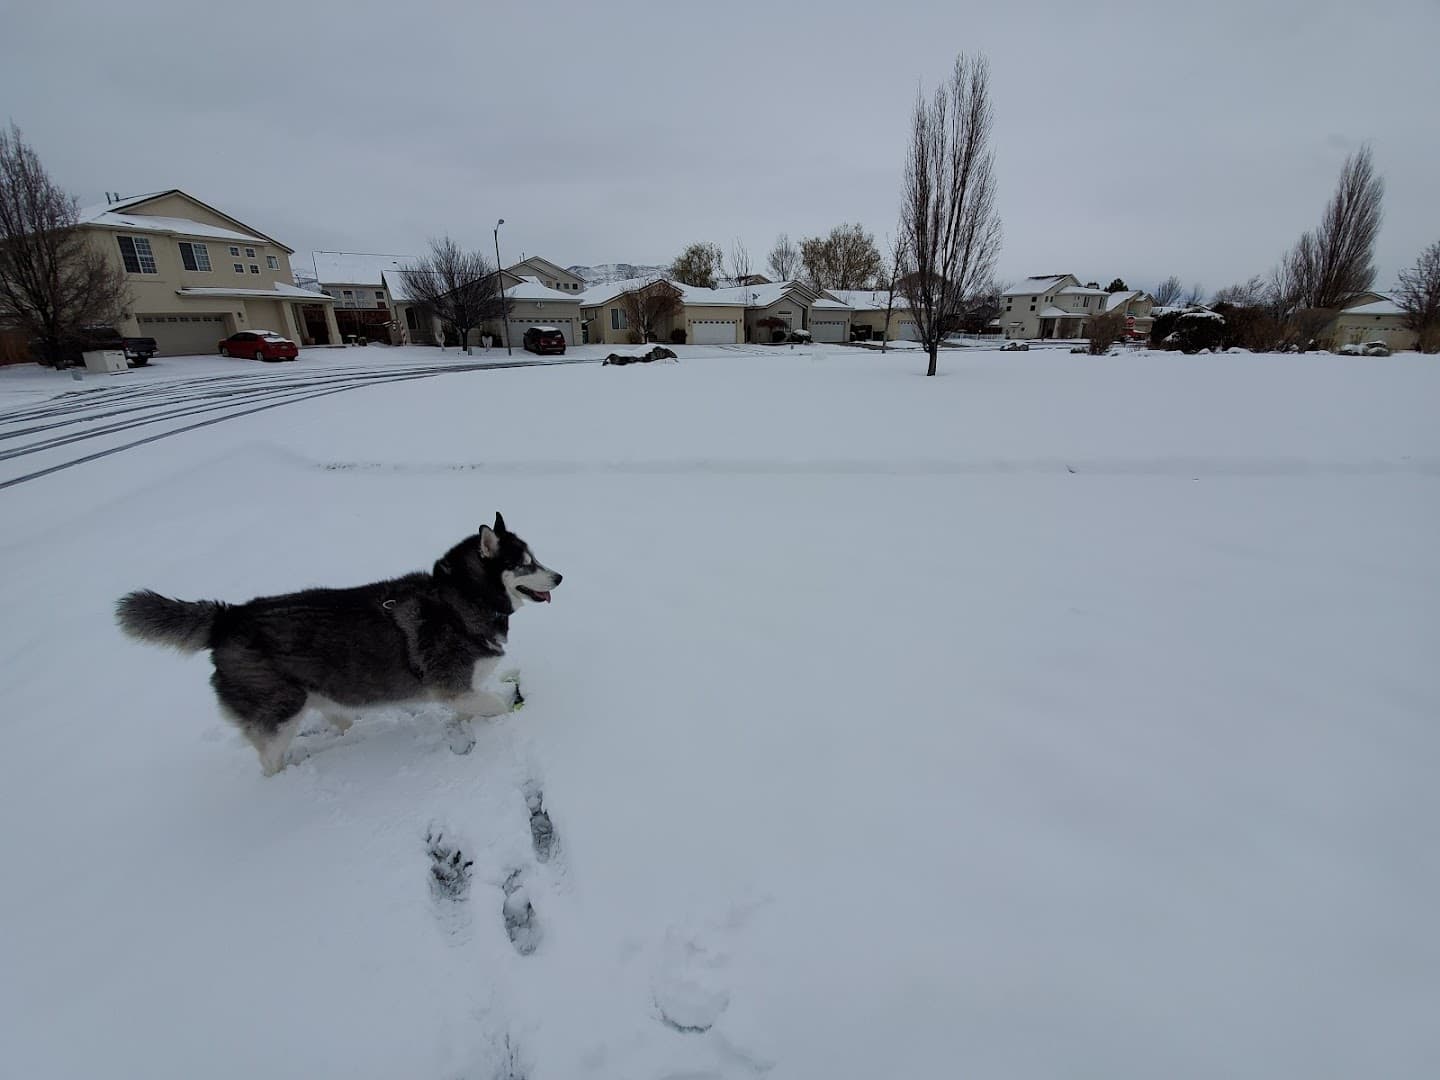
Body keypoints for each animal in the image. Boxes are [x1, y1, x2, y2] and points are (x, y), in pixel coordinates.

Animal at [115, 515, 561, 777]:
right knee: (269, 759)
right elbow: (496, 705)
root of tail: (229, 616)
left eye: (536, 558)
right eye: (525, 565)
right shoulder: (452, 686)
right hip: (281, 708)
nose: (559, 576)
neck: (460, 598)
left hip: (322, 694)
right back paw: (289, 774)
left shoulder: (463, 691)